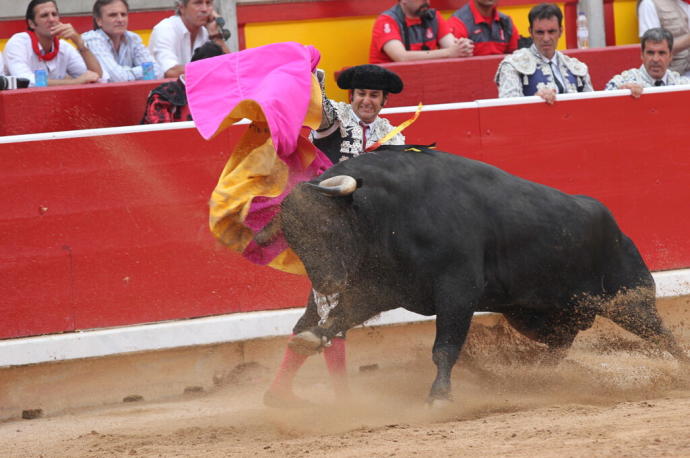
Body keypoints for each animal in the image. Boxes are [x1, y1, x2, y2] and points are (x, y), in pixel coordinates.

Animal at [272, 145, 684, 402]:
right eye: (294, 240)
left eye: (328, 228)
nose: (326, 283)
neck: (388, 210)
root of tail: (617, 228)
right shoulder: (379, 288)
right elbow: (334, 319)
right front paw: (307, 343)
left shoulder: (458, 290)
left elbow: (445, 348)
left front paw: (439, 396)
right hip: (534, 314)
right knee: (560, 343)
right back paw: (535, 380)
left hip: (627, 301)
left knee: (662, 335)